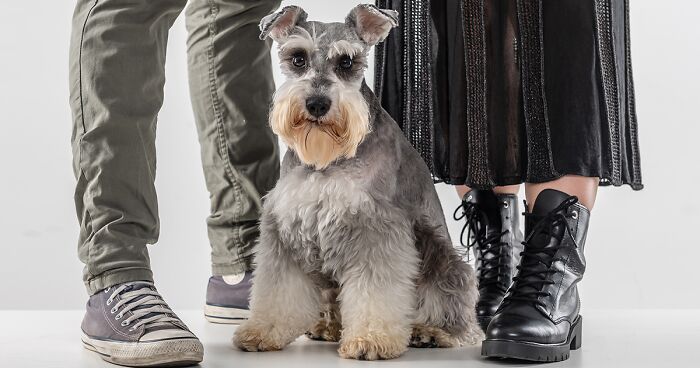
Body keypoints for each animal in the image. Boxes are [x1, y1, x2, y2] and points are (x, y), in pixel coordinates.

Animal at [232, 2, 484, 360]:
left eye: (347, 62)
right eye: (298, 58)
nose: (317, 104)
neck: (326, 161)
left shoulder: (375, 229)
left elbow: (375, 293)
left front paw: (370, 340)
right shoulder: (283, 231)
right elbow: (277, 290)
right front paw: (262, 331)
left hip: (440, 256)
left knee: (454, 311)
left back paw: (432, 332)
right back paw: (327, 326)